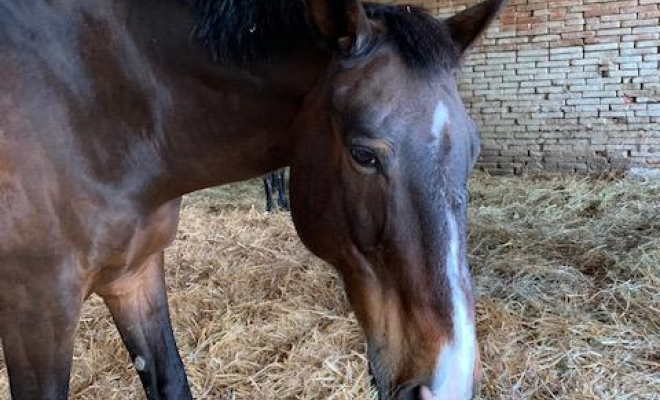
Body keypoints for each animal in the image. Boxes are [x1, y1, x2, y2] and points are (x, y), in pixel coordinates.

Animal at [0, 0, 506, 398]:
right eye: (364, 155)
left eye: (473, 149)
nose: (448, 382)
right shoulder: (36, 311)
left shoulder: (135, 275)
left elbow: (171, 380)